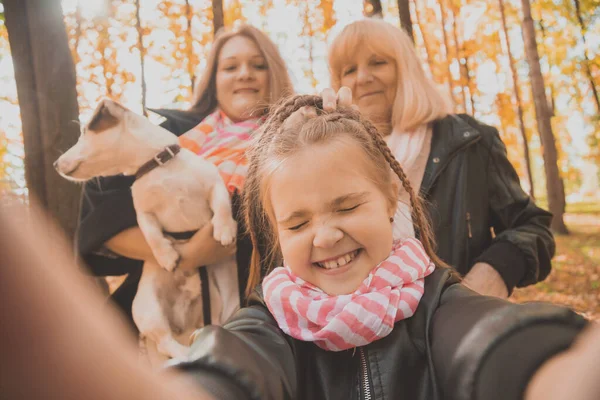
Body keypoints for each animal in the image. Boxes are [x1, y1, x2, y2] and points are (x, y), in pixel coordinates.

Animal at [54, 99, 239, 362]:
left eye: (84, 132)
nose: (55, 164)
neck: (158, 165)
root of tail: (183, 324)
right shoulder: (144, 213)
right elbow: (152, 235)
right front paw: (166, 256)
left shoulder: (214, 185)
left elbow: (222, 205)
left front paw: (224, 230)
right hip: (148, 309)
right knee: (164, 342)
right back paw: (185, 352)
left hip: (214, 298)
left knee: (208, 324)